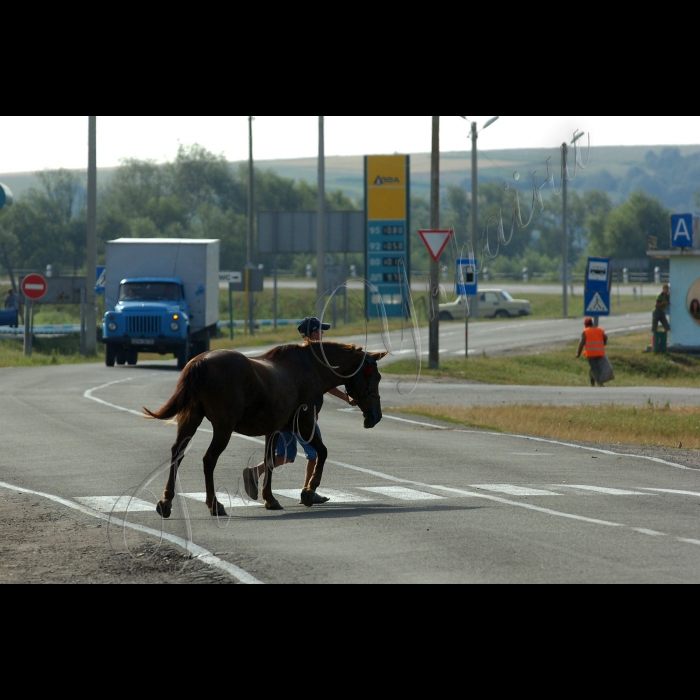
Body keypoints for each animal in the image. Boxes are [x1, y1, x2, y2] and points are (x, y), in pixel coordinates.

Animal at [143, 342, 388, 516]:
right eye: (375, 376)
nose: (375, 416)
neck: (311, 369)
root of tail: (200, 362)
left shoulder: (274, 429)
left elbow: (269, 461)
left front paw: (269, 498)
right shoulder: (305, 424)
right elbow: (322, 453)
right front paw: (309, 491)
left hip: (190, 419)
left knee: (177, 453)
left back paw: (166, 501)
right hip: (223, 428)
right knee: (208, 460)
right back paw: (214, 504)